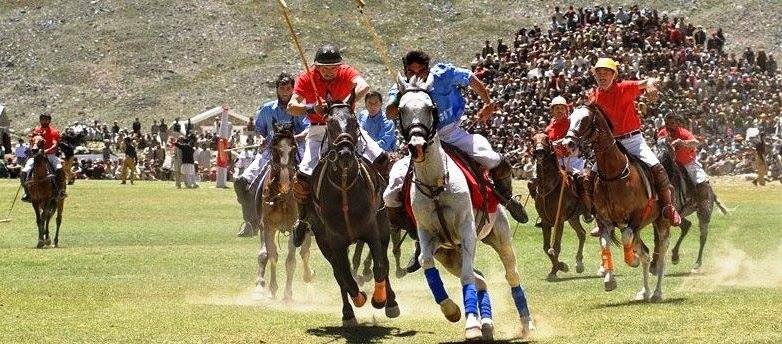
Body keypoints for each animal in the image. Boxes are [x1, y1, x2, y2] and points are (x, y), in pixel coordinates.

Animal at [308, 95, 402, 326]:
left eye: (353, 121)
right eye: (330, 123)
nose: (344, 154)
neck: (344, 185)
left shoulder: (372, 231)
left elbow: (380, 266)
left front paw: (380, 300)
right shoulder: (334, 241)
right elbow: (344, 276)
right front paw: (358, 300)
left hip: (383, 226)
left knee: (384, 263)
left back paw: (390, 301)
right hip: (324, 241)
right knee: (339, 274)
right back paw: (348, 313)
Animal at [398, 76, 540, 342]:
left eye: (430, 108)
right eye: (401, 110)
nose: (417, 145)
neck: (435, 184)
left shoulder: (466, 231)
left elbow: (466, 277)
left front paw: (471, 325)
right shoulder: (428, 235)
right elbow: (425, 261)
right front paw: (452, 310)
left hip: (499, 235)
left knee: (510, 274)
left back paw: (526, 324)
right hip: (449, 254)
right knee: (480, 279)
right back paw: (487, 324)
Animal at [532, 133, 588, 280]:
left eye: (546, 139)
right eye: (533, 140)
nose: (539, 151)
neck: (549, 186)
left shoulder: (560, 220)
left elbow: (556, 246)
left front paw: (558, 268)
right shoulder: (545, 222)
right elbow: (546, 247)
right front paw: (558, 267)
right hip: (573, 217)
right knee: (582, 234)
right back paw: (579, 263)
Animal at [564, 106, 672, 302]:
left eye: (585, 119)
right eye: (570, 118)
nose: (567, 143)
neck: (613, 174)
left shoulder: (636, 217)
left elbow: (627, 240)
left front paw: (632, 261)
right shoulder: (605, 221)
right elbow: (605, 244)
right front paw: (609, 280)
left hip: (662, 221)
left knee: (661, 254)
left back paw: (657, 292)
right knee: (645, 252)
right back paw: (644, 292)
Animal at [656, 140, 728, 274]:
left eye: (666, 151)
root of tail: (711, 191)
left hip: (703, 213)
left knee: (703, 236)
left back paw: (697, 264)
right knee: (687, 225)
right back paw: (675, 257)